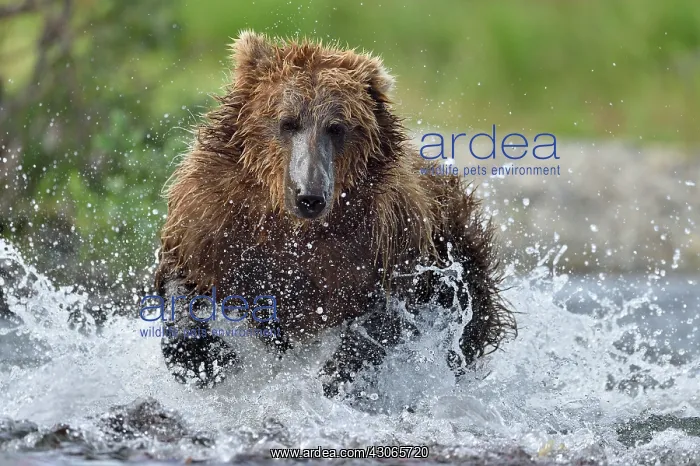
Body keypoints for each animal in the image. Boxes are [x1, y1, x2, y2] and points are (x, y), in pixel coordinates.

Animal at [153, 31, 516, 397]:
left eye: (337, 127)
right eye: (288, 122)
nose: (309, 196)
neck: (294, 226)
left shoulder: (388, 235)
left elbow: (391, 309)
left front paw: (337, 374)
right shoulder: (214, 217)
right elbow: (184, 275)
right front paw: (206, 358)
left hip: (459, 252)